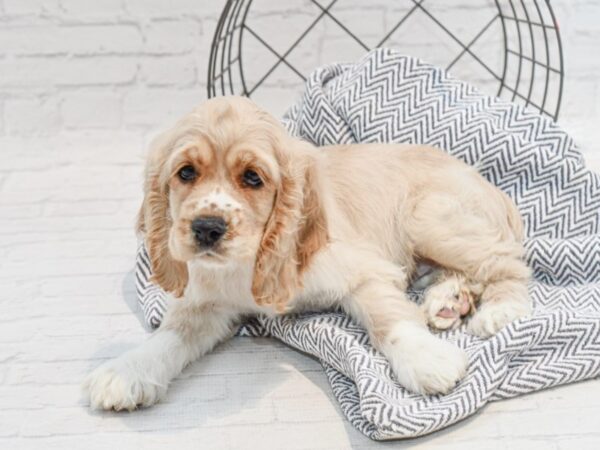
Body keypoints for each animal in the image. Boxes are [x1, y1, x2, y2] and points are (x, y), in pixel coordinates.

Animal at [83, 96, 528, 410]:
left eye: (253, 178)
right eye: (186, 173)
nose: (207, 228)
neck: (251, 262)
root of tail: (491, 187)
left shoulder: (364, 271)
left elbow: (388, 317)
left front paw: (426, 359)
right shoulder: (207, 302)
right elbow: (170, 334)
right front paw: (127, 370)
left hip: (427, 217)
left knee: (508, 262)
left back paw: (497, 309)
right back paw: (448, 301)